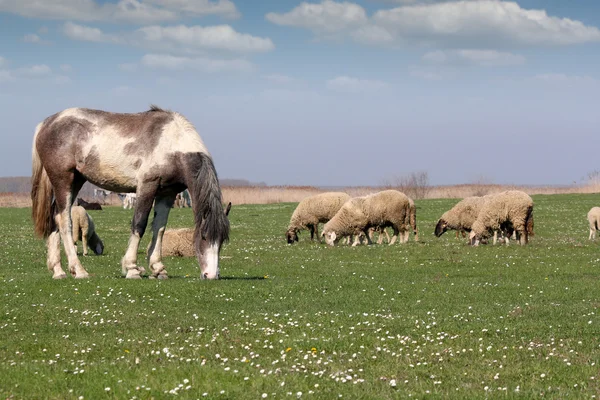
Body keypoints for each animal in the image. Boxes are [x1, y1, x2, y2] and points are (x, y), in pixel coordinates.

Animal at [31, 104, 231, 280]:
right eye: (203, 236)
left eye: (222, 240)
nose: (211, 275)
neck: (172, 144)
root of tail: (47, 123)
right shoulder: (147, 187)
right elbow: (139, 225)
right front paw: (132, 269)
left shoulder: (167, 193)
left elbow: (159, 228)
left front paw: (158, 269)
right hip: (63, 181)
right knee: (65, 221)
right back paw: (78, 270)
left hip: (76, 180)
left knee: (55, 217)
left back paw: (58, 271)